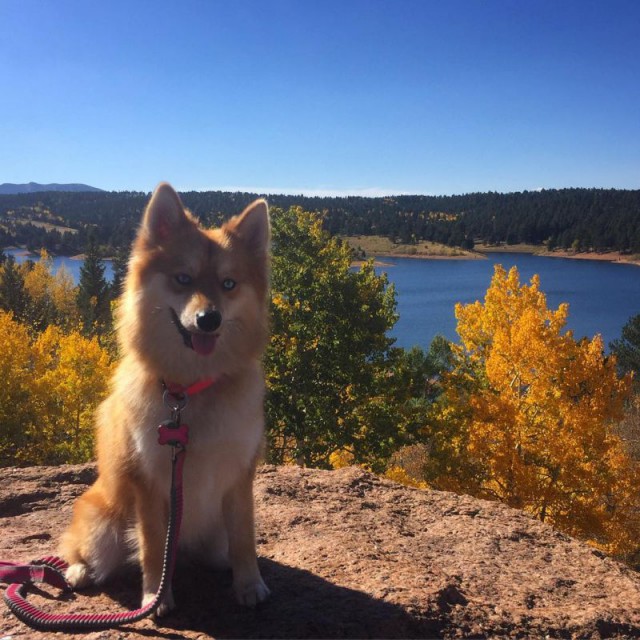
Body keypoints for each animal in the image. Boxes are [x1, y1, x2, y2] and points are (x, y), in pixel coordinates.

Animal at [57, 181, 270, 616]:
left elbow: (244, 537)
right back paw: (78, 571)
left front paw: (249, 584)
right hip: (104, 524)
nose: (209, 318)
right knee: (82, 550)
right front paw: (156, 595)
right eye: (183, 279)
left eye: (229, 284)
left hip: (211, 539)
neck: (189, 390)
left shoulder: (240, 476)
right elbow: (155, 546)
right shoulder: (150, 483)